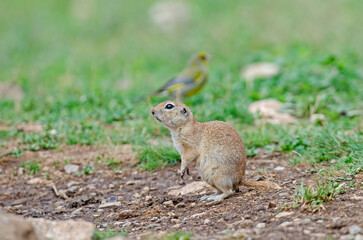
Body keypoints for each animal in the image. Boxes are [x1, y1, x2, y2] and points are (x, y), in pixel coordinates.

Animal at [152, 101, 280, 201]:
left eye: (169, 106)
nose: (152, 111)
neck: (184, 126)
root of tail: (240, 181)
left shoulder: (189, 147)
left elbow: (187, 158)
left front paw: (182, 171)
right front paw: (186, 170)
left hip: (219, 176)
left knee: (229, 191)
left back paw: (216, 198)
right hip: (208, 177)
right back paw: (208, 196)